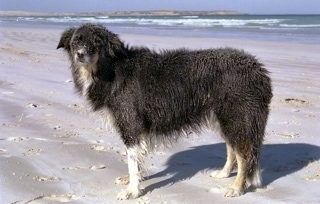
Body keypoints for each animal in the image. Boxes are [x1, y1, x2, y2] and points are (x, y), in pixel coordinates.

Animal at [57, 23, 272, 199]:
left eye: (97, 42)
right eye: (76, 41)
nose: (80, 54)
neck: (110, 69)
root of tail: (259, 69)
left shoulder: (130, 125)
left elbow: (132, 161)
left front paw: (132, 191)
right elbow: (137, 161)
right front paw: (132, 181)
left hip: (237, 117)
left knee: (244, 155)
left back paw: (236, 187)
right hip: (224, 119)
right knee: (232, 148)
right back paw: (223, 173)